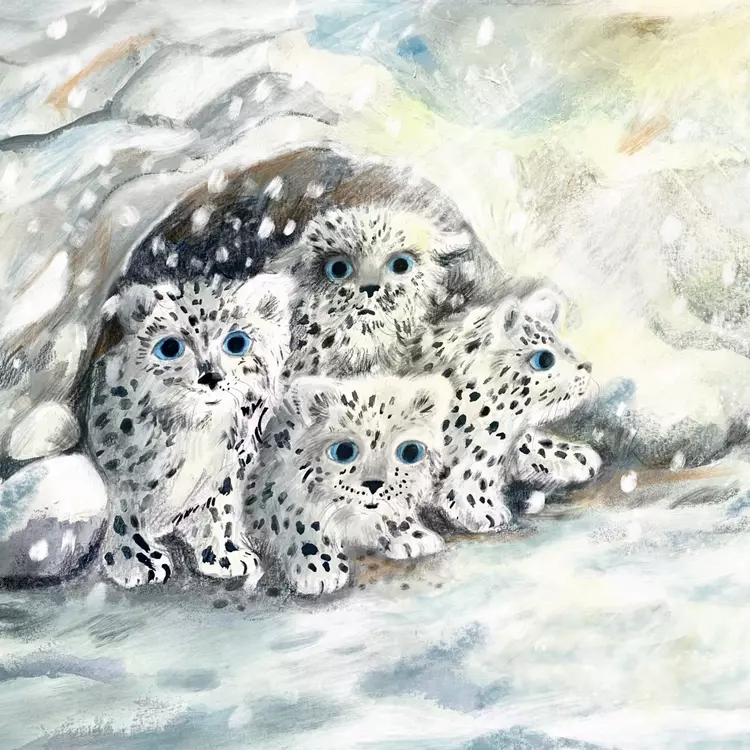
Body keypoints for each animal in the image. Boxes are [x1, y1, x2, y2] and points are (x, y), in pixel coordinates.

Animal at [86, 273, 294, 589]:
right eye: (170, 347)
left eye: (237, 342)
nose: (211, 377)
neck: (199, 430)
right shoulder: (123, 472)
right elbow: (125, 513)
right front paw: (135, 561)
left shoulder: (227, 471)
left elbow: (219, 511)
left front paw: (224, 556)